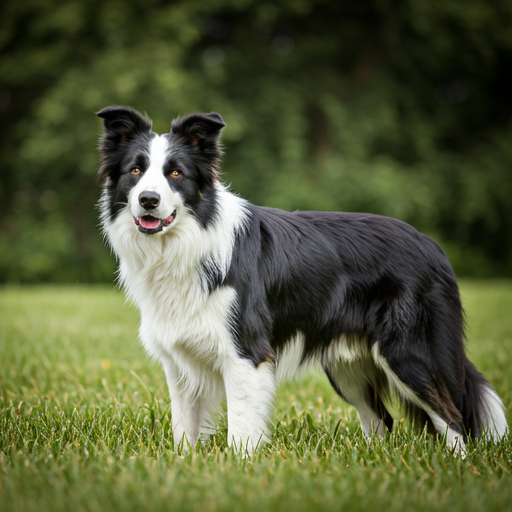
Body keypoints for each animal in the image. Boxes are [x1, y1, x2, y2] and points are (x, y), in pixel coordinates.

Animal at [97, 106, 508, 454]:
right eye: (135, 171)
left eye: (175, 173)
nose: (148, 200)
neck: (185, 241)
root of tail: (430, 245)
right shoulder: (179, 361)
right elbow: (184, 426)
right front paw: (186, 462)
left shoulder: (245, 352)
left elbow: (241, 427)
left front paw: (237, 467)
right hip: (348, 366)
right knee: (382, 420)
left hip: (409, 352)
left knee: (452, 417)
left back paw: (457, 463)